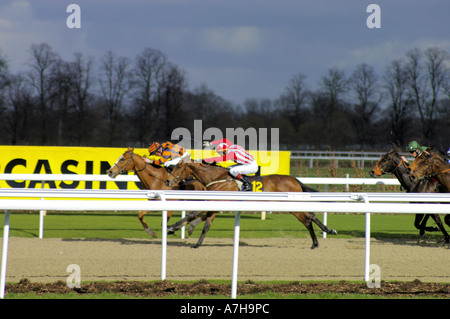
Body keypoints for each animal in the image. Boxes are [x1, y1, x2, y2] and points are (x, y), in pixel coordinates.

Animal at [165, 162, 338, 250]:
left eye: (178, 167)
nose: (167, 181)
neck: (217, 178)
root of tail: (294, 179)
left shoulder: (214, 201)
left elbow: (192, 213)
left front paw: (172, 227)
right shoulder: (215, 204)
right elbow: (205, 224)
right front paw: (196, 241)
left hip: (292, 205)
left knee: (307, 219)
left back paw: (317, 241)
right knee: (311, 216)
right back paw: (325, 233)